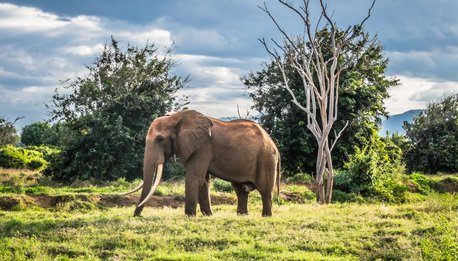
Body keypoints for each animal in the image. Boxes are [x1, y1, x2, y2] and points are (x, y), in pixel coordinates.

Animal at [121, 109, 280, 215]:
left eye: (160, 139)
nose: (136, 215)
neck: (175, 117)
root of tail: (274, 145)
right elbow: (203, 181)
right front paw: (208, 215)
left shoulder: (203, 147)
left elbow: (194, 177)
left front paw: (189, 216)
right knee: (240, 190)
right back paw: (242, 215)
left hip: (266, 158)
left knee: (265, 189)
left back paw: (266, 216)